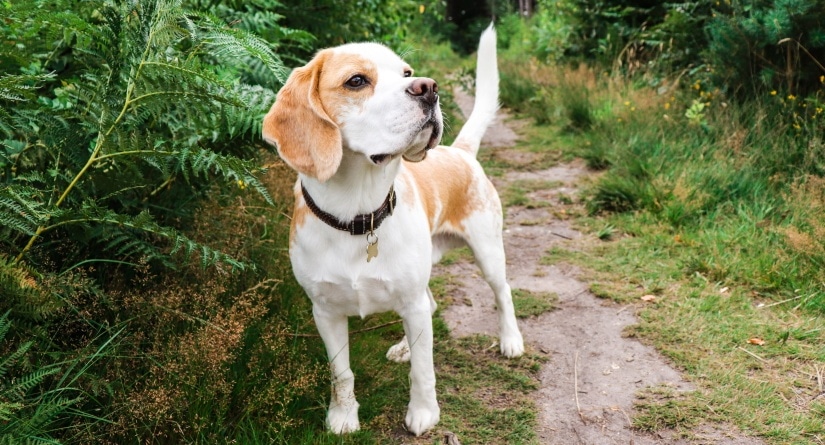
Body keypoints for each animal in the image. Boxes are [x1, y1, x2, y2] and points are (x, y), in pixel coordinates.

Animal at [260, 26, 524, 436]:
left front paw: (424, 413)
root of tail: (460, 151)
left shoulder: (410, 303)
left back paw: (511, 340)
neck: (358, 216)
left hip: (487, 252)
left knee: (502, 293)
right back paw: (404, 347)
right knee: (431, 307)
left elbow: (423, 371)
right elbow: (341, 373)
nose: (428, 87)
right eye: (356, 81)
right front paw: (343, 416)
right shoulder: (325, 312)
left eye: (406, 72)